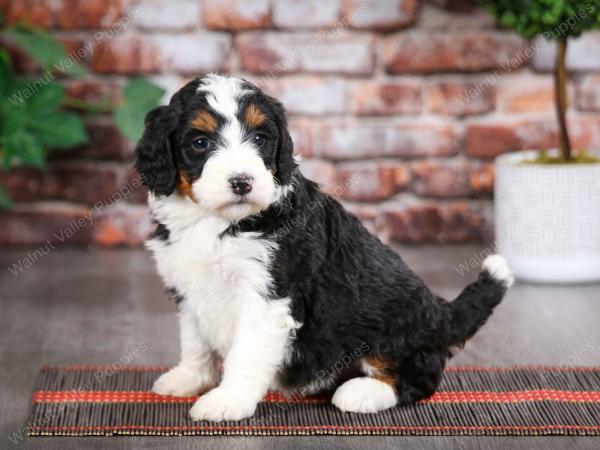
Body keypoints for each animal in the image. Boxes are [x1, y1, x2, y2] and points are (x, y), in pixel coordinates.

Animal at [135, 73, 510, 422]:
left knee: (418, 379)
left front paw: (228, 400)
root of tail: (442, 313)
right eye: (200, 142)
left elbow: (246, 353)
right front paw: (189, 378)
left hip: (397, 322)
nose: (242, 182)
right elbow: (195, 340)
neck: (216, 222)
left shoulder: (268, 296)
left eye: (259, 138)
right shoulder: (188, 286)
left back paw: (362, 392)